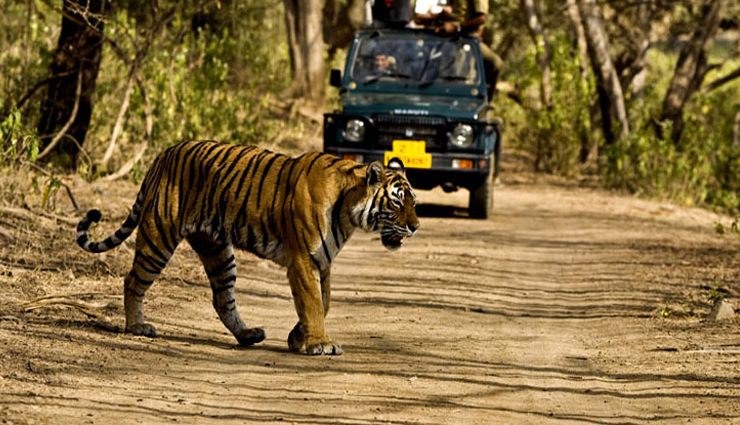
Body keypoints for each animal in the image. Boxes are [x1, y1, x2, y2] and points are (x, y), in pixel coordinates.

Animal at [76, 140, 419, 355]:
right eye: (397, 201)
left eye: (414, 201)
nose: (416, 226)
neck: (348, 211)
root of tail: (164, 154)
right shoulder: (304, 259)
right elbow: (312, 303)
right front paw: (319, 343)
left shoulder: (323, 262)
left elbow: (324, 302)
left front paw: (298, 337)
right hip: (159, 236)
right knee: (133, 280)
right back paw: (137, 326)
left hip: (218, 250)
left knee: (222, 299)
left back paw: (248, 335)